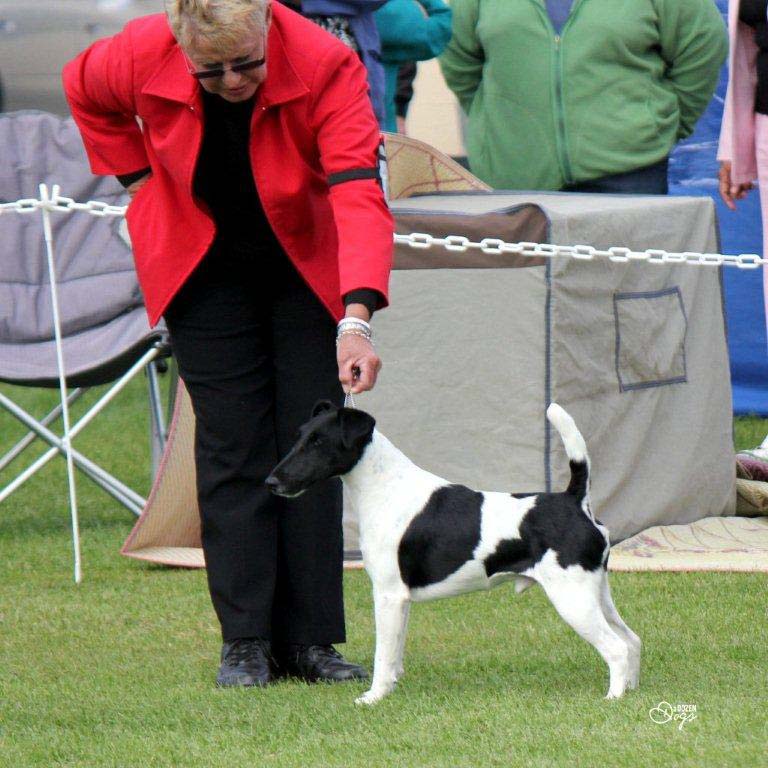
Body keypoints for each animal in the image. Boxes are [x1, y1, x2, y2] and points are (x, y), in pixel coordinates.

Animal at [268, 402, 640, 708]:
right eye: (299, 437)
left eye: (319, 442)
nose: (271, 481)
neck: (386, 487)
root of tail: (575, 502)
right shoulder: (400, 601)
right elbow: (395, 652)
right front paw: (391, 688)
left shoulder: (387, 595)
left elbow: (382, 653)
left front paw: (373, 697)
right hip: (596, 593)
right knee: (632, 640)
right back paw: (631, 690)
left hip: (573, 599)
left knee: (617, 648)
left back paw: (613, 698)